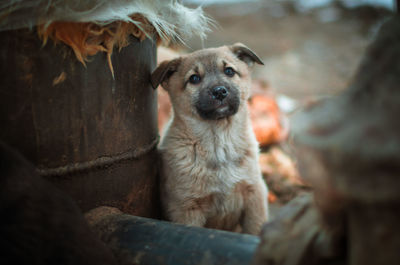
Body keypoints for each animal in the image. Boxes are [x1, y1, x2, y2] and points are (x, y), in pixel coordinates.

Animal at [150, 43, 268, 235]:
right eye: (194, 78)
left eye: (229, 71)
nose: (219, 92)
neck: (219, 142)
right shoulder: (187, 208)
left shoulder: (255, 194)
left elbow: (255, 229)